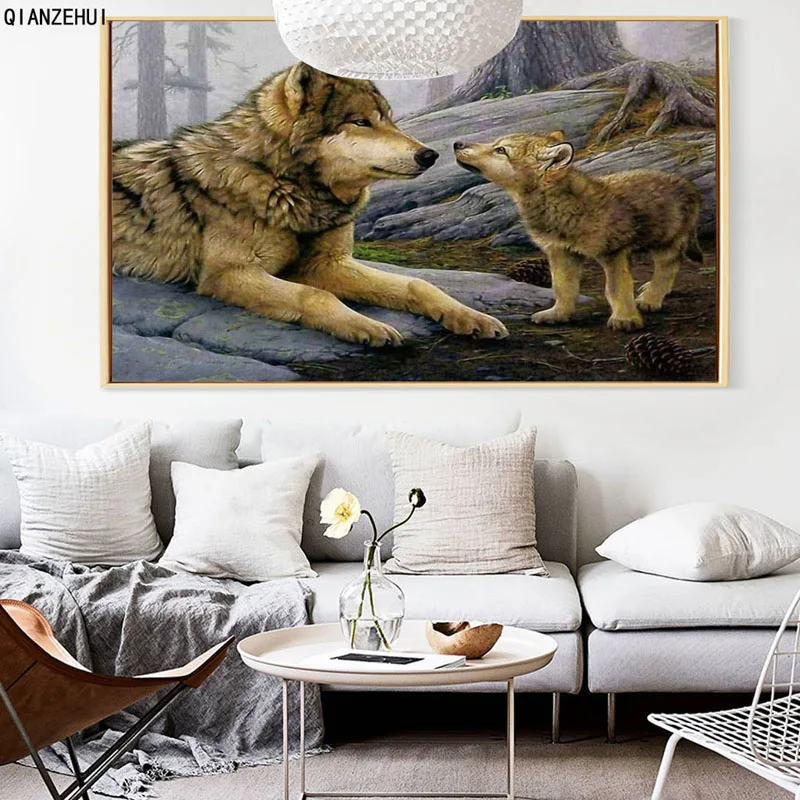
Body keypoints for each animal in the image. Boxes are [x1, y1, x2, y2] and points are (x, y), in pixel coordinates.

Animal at [112, 63, 507, 346]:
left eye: (390, 120)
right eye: (361, 122)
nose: (430, 155)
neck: (284, 184)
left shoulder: (326, 263)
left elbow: (417, 285)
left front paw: (471, 317)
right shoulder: (229, 274)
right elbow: (315, 296)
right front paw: (366, 326)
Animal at [454, 131, 703, 331]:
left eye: (501, 150)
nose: (457, 143)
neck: (561, 205)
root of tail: (687, 183)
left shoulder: (613, 253)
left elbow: (616, 289)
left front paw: (625, 319)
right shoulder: (560, 252)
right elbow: (563, 288)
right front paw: (558, 314)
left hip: (667, 242)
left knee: (667, 268)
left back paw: (650, 299)